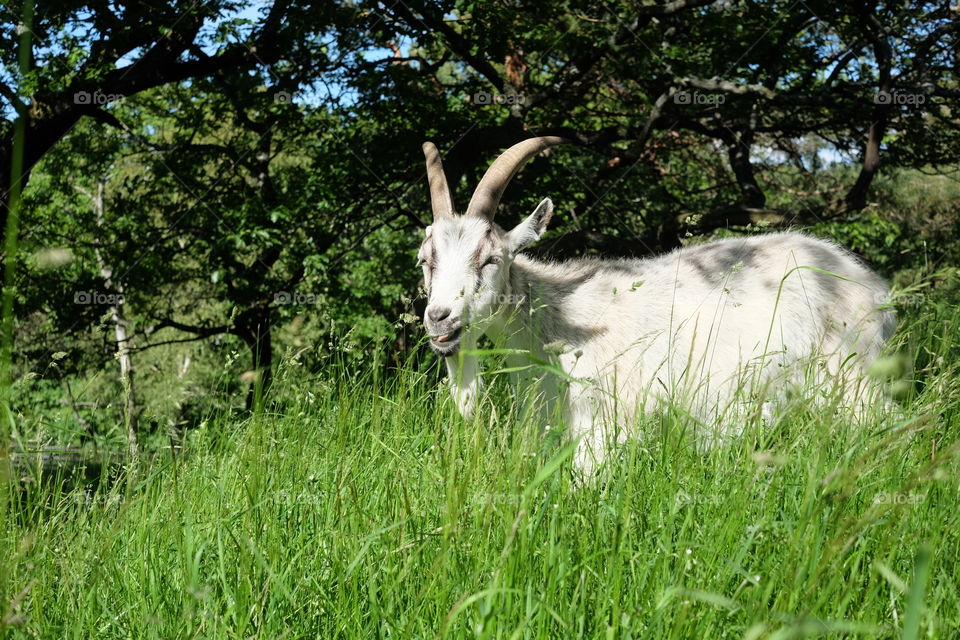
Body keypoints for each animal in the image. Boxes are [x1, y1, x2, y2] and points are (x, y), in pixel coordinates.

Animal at [416, 136, 896, 476]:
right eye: (425, 260)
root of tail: (870, 284)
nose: (440, 318)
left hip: (853, 381)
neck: (557, 323)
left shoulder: (605, 428)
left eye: (491, 258)